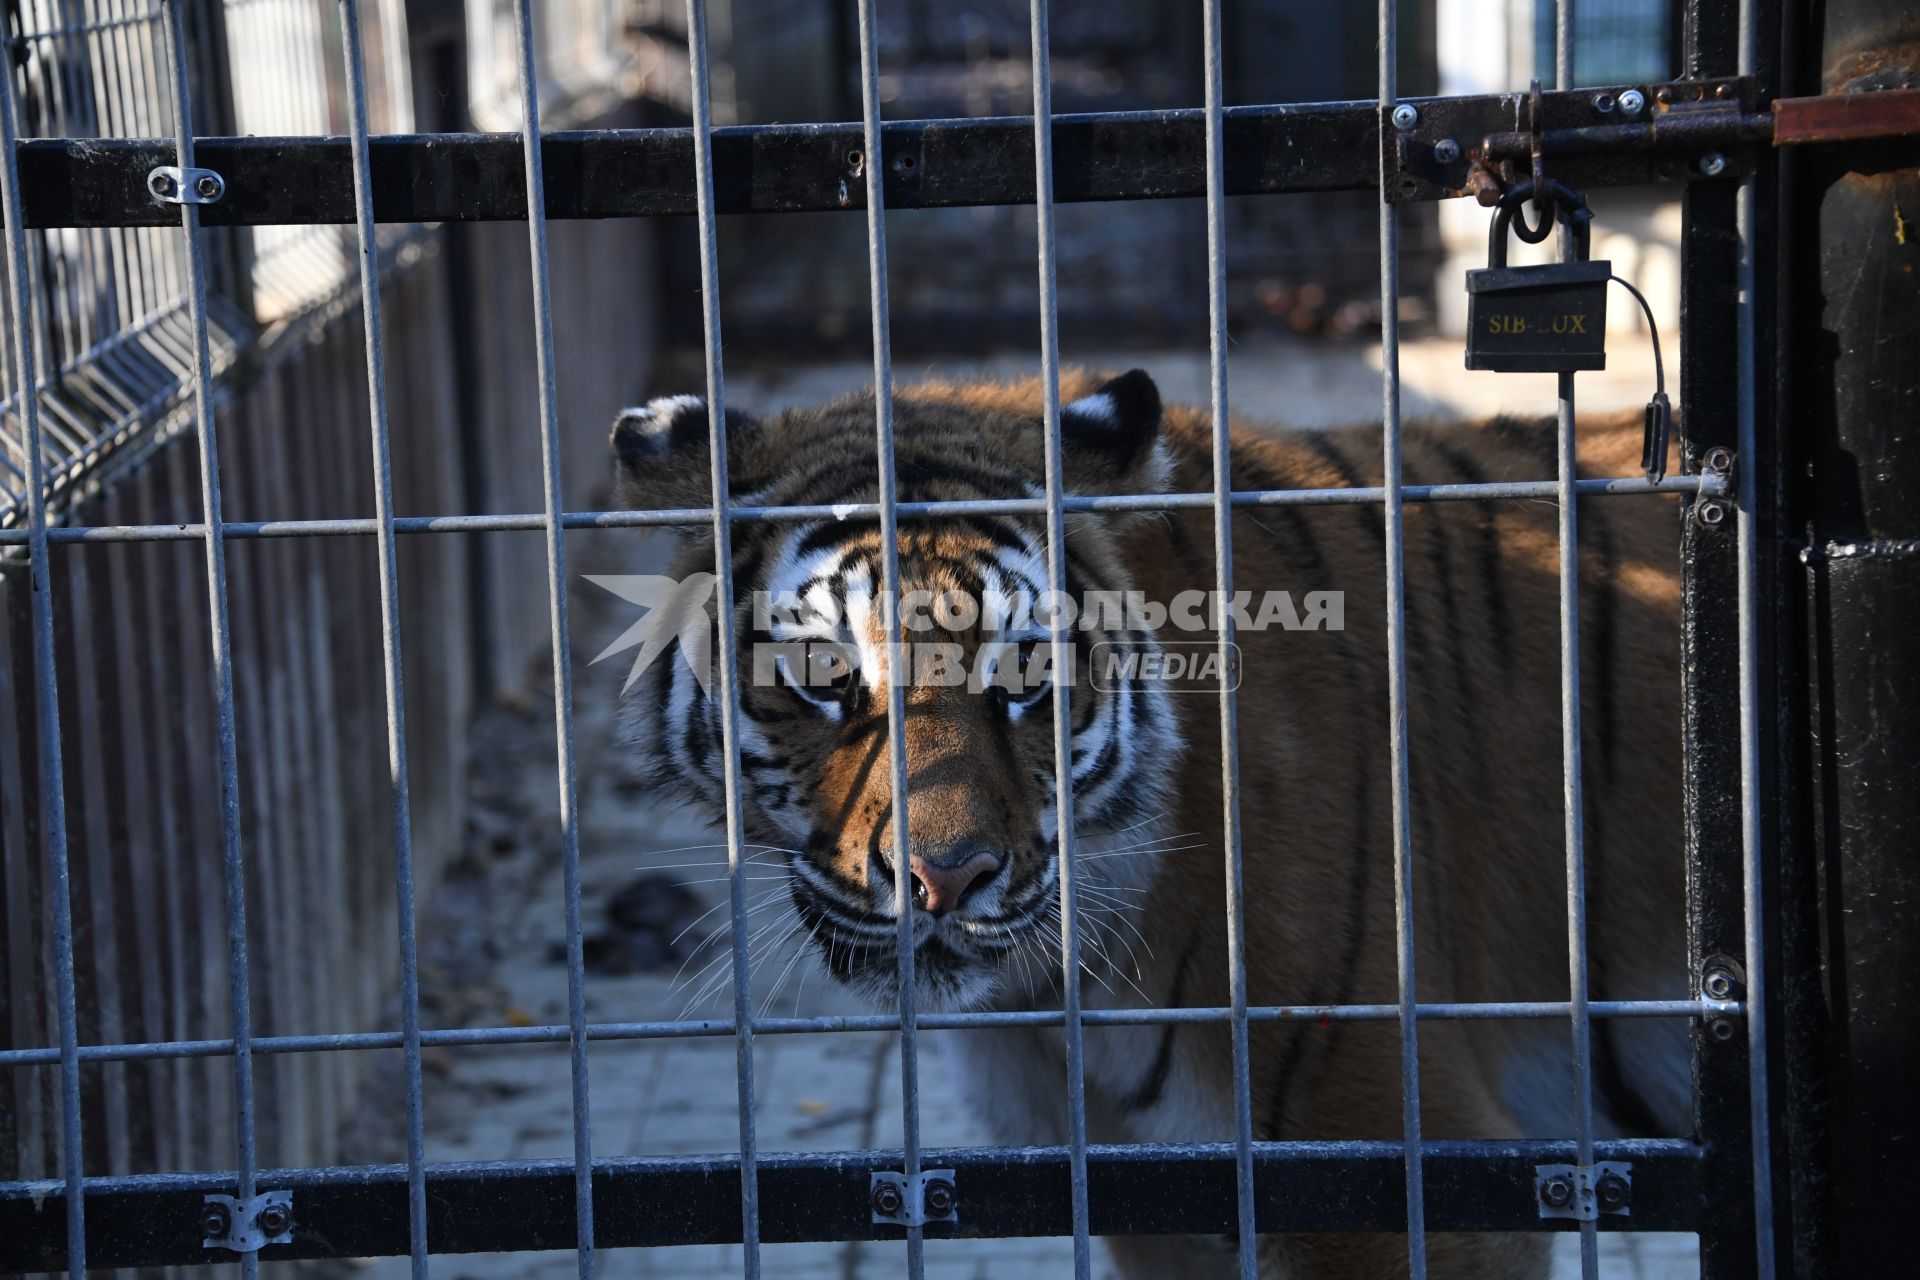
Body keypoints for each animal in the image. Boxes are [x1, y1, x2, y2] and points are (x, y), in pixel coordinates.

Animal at [606, 364, 1689, 1274]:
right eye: (827, 673)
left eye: (1024, 672)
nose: (946, 879)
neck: (1053, 1000)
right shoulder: (1153, 1201)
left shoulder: (1398, 1171)